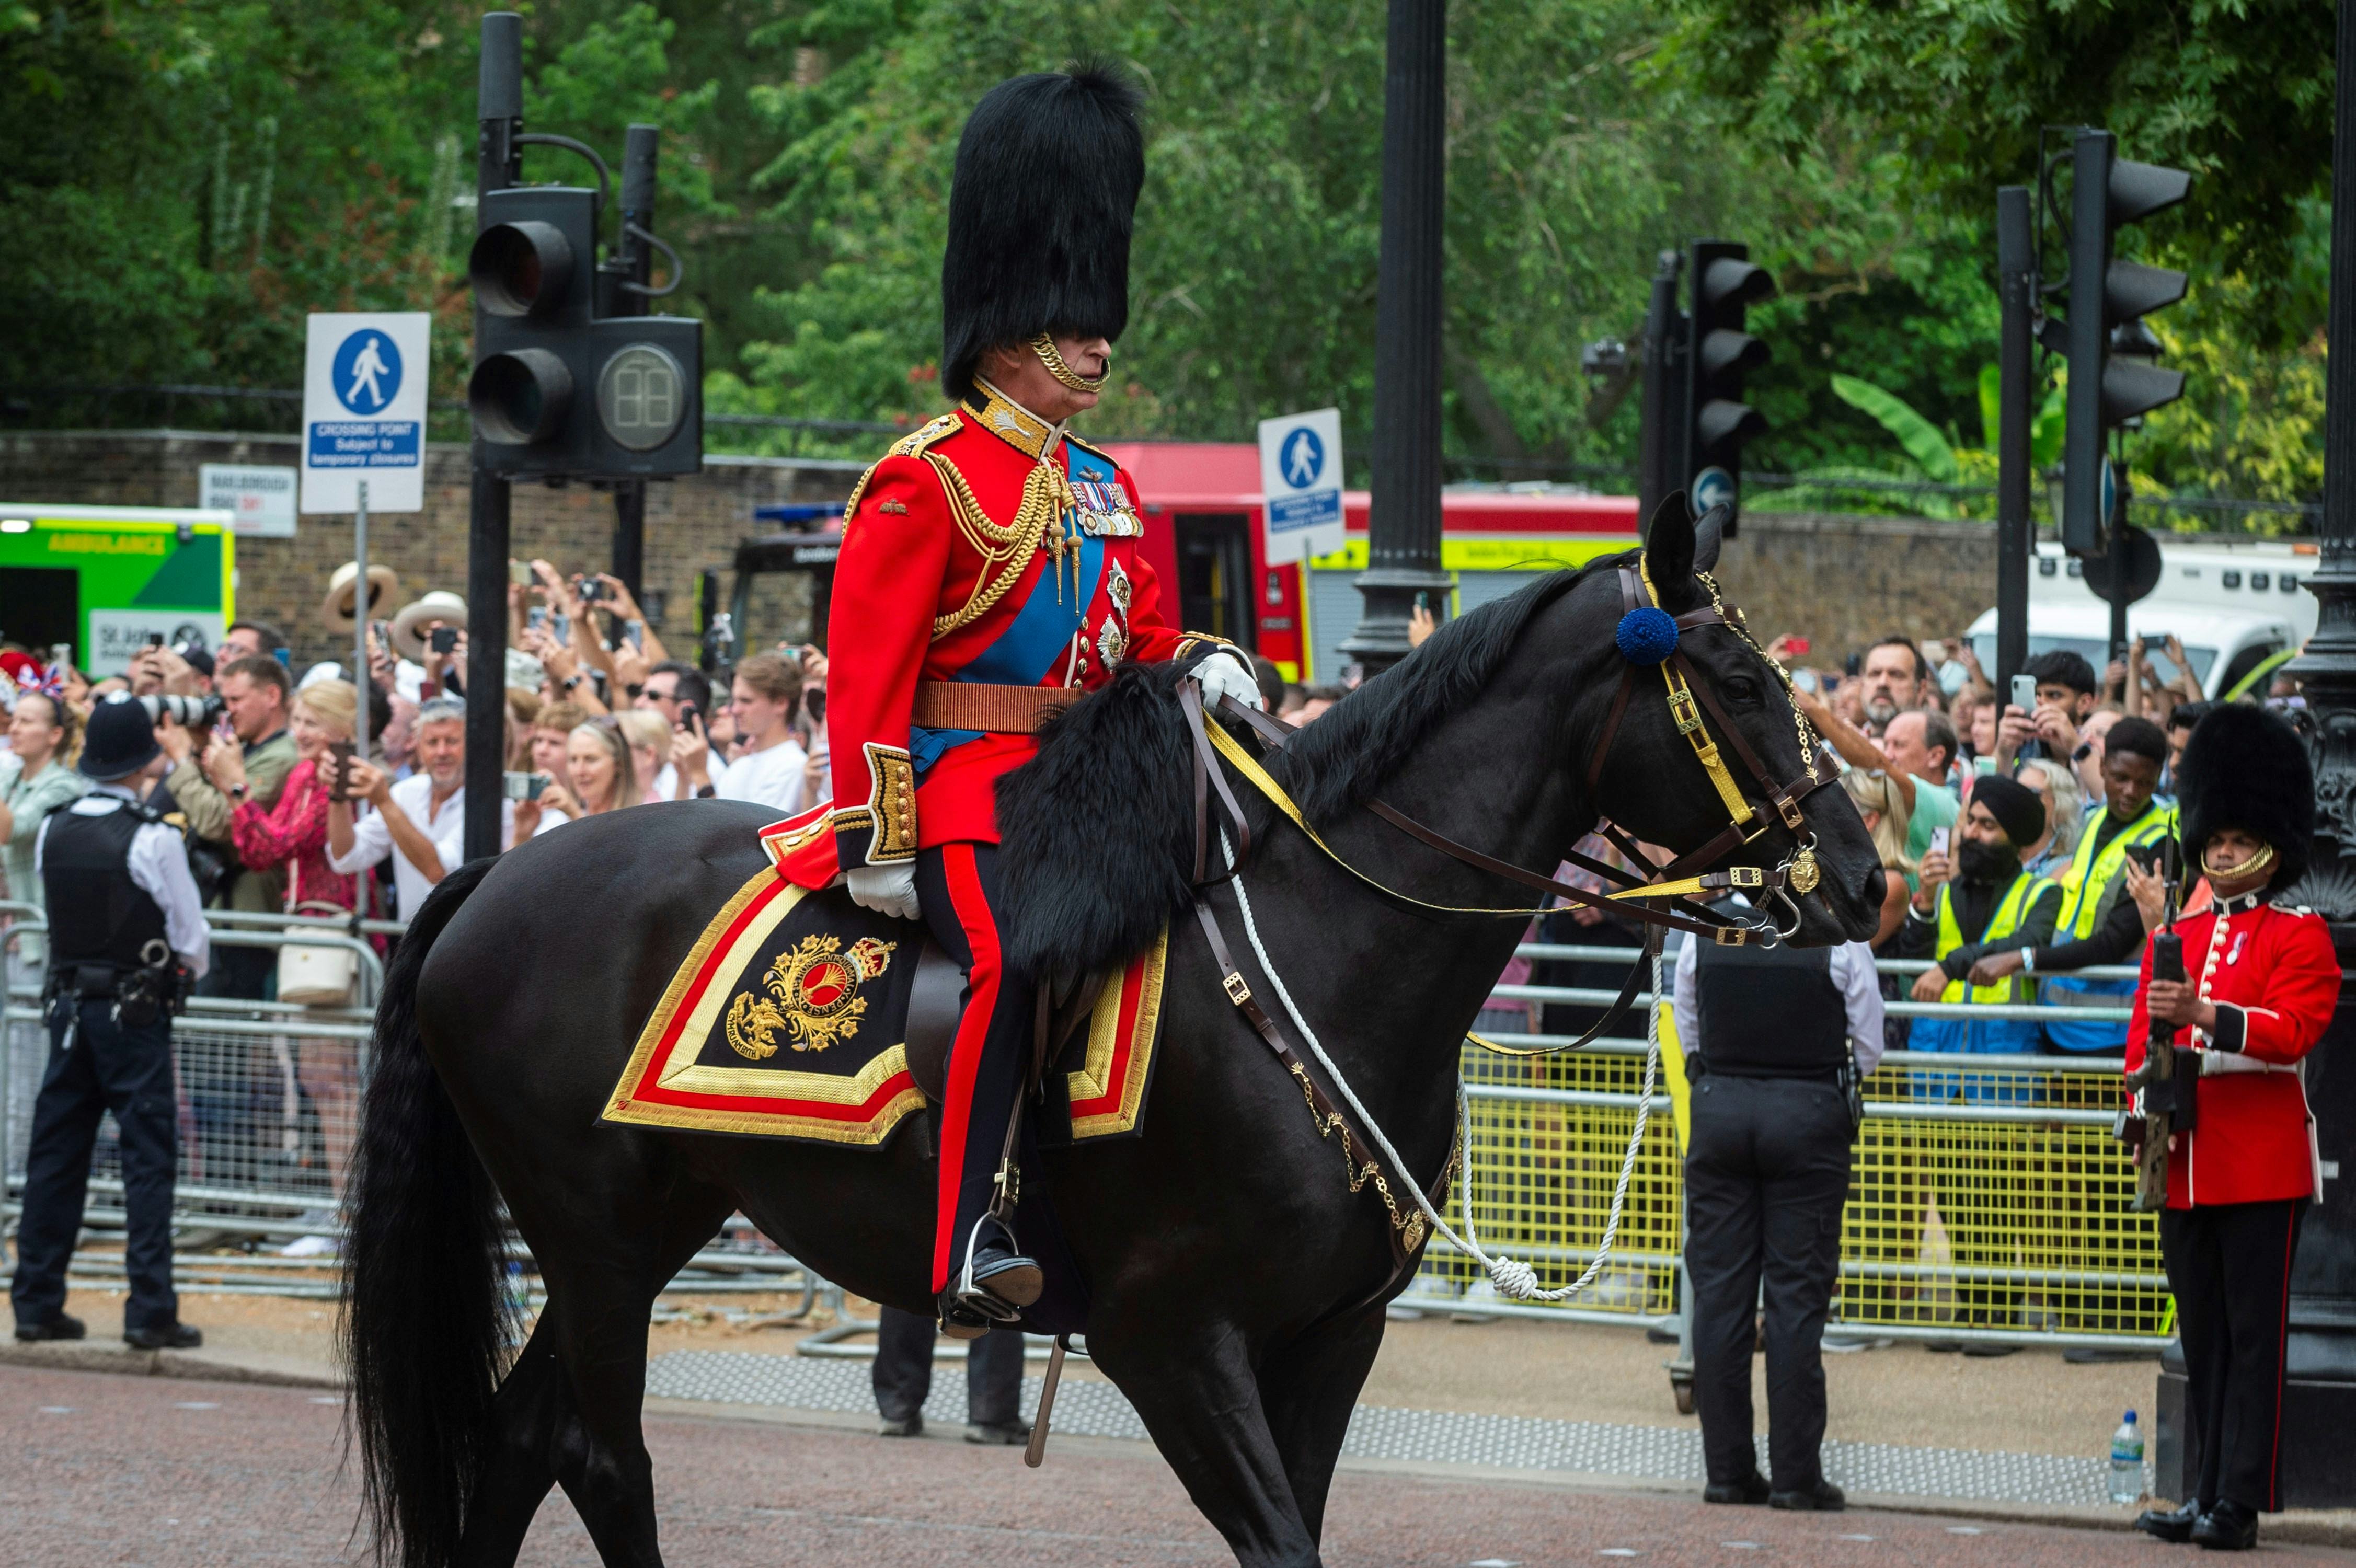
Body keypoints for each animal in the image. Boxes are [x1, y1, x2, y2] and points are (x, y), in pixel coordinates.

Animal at [343, 500, 1884, 1568]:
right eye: (1741, 682)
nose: (1866, 879)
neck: (1327, 953)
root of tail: (500, 867)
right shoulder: (1168, 1331)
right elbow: (1277, 1541)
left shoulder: (1329, 1336)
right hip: (593, 1239)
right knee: (597, 1457)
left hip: (640, 1227)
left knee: (519, 1440)